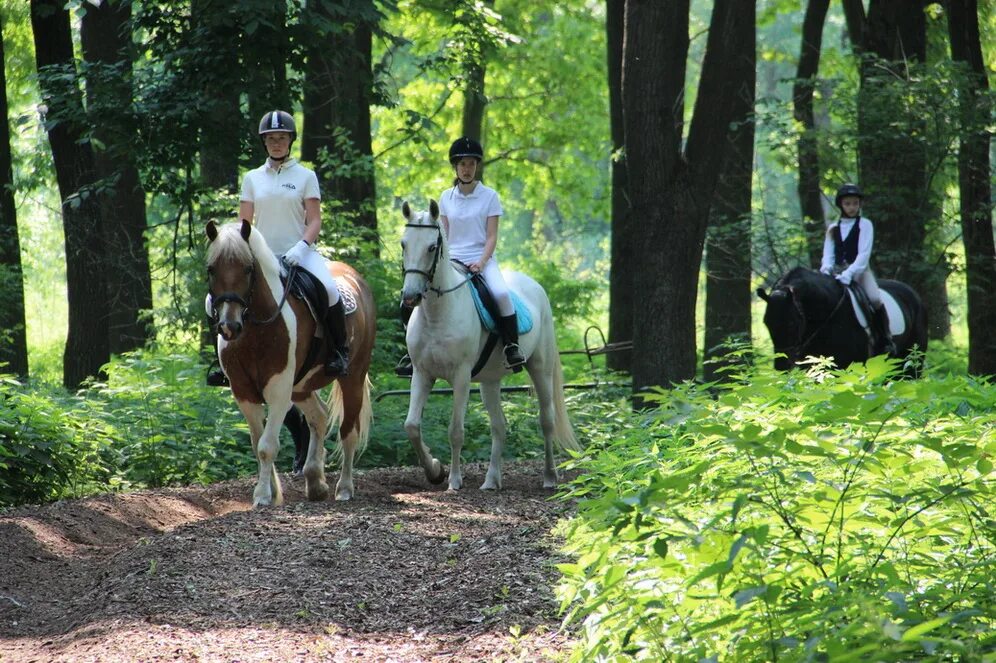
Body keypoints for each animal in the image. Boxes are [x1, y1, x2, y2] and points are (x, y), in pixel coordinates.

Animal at [206, 220, 378, 506]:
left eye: (248, 269)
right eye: (211, 269)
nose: (229, 326)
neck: (255, 329)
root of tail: (357, 278)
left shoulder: (278, 389)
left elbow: (266, 446)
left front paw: (263, 496)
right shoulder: (243, 391)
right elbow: (257, 443)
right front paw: (272, 492)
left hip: (352, 377)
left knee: (348, 432)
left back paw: (344, 488)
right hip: (301, 387)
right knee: (319, 416)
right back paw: (315, 481)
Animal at [400, 200, 580, 490]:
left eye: (431, 247)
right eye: (403, 244)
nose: (410, 296)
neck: (438, 313)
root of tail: (534, 285)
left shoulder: (461, 376)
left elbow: (455, 431)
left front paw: (454, 481)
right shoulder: (421, 374)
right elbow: (412, 426)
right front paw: (435, 470)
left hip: (540, 369)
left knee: (546, 420)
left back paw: (550, 477)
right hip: (489, 381)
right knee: (499, 426)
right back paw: (491, 480)